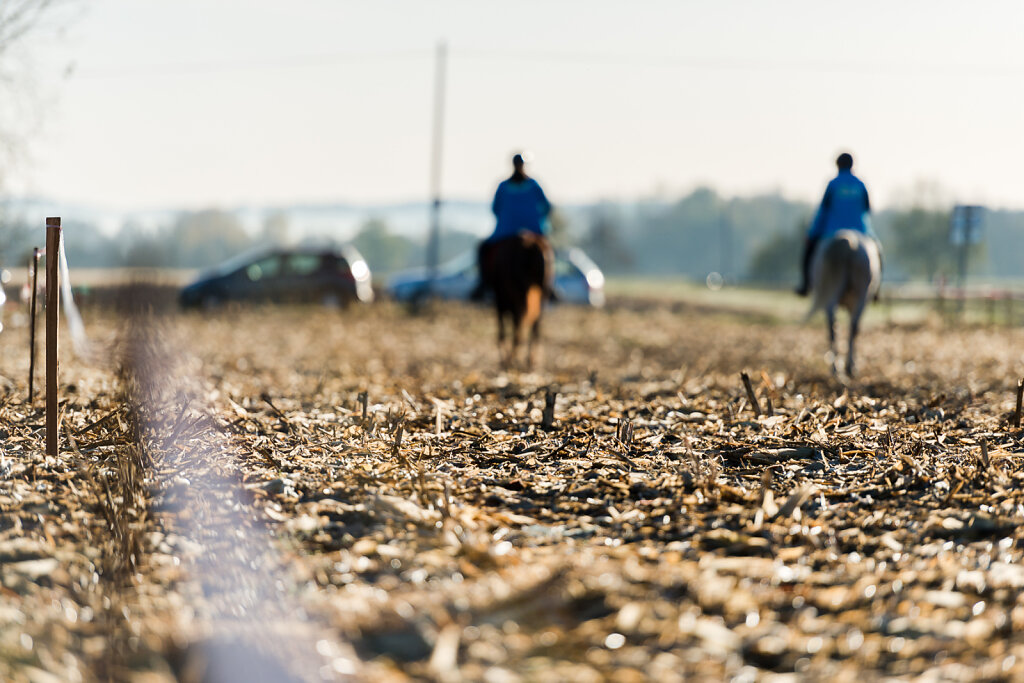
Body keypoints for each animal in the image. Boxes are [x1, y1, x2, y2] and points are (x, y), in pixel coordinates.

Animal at [479, 232, 552, 368]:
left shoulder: (501, 301)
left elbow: (502, 331)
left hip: (518, 299)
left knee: (519, 331)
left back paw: (511, 359)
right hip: (542, 297)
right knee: (534, 329)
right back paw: (530, 360)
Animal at [806, 229, 880, 378]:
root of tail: (848, 241)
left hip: (832, 296)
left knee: (833, 328)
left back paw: (836, 367)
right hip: (861, 296)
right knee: (852, 328)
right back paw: (849, 367)